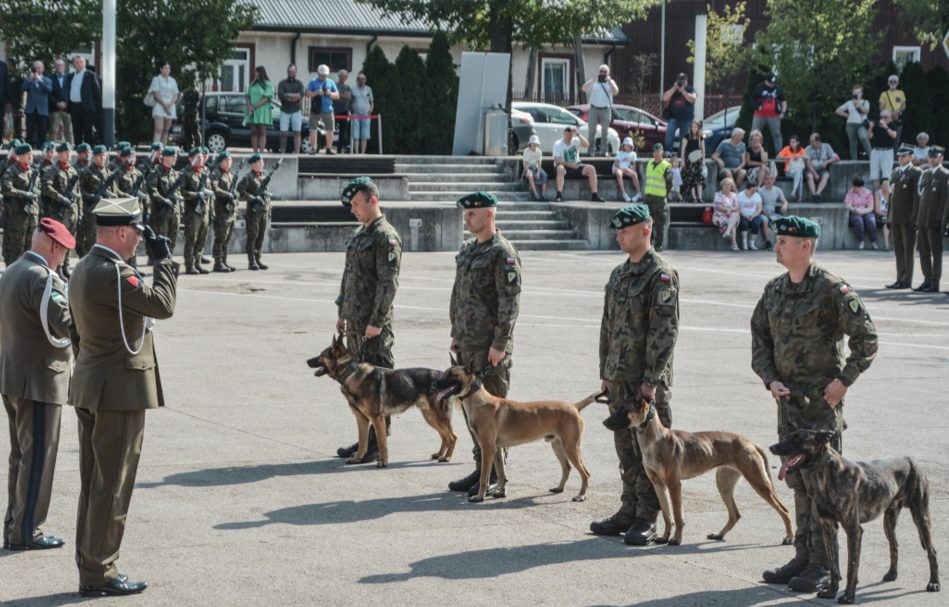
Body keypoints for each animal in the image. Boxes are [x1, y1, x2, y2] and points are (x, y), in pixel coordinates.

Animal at [308, 334, 456, 468]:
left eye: (321, 355)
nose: (307, 361)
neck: (350, 373)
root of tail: (442, 376)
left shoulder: (377, 418)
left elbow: (381, 442)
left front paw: (383, 461)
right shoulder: (361, 419)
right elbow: (362, 441)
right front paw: (357, 458)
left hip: (438, 417)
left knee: (452, 437)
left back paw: (447, 457)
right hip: (430, 417)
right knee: (444, 437)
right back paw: (439, 454)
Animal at [434, 366, 596, 504]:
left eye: (452, 374)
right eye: (446, 372)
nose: (435, 384)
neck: (479, 400)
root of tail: (574, 406)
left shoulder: (487, 449)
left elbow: (484, 477)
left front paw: (479, 496)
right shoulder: (496, 449)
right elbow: (501, 474)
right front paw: (500, 492)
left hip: (571, 448)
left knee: (586, 473)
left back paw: (581, 495)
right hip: (557, 446)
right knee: (567, 468)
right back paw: (559, 488)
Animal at [604, 400, 796, 548]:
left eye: (624, 409)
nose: (604, 423)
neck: (654, 441)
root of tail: (749, 442)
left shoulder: (674, 485)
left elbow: (677, 515)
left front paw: (676, 539)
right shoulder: (658, 485)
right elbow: (667, 515)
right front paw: (665, 537)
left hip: (759, 483)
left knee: (784, 510)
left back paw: (789, 537)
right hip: (723, 484)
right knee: (735, 514)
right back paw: (719, 535)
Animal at [772, 430, 940, 604]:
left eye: (798, 438)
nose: (772, 447)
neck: (826, 475)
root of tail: (911, 460)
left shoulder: (854, 530)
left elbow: (851, 567)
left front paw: (848, 596)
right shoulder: (828, 527)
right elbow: (833, 565)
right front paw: (831, 591)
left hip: (921, 517)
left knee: (932, 551)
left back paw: (934, 583)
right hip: (889, 521)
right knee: (894, 545)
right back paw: (892, 574)